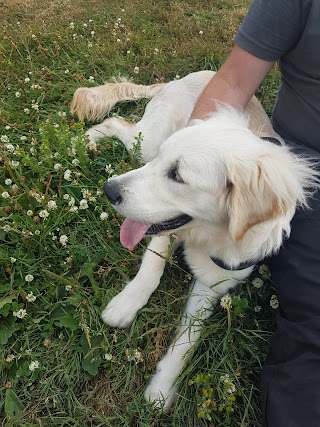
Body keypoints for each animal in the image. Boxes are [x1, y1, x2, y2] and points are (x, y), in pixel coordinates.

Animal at [71, 71, 318, 412]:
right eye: (166, 164)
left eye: (178, 176)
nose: (109, 190)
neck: (210, 234)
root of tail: (182, 78)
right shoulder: (163, 227)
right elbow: (151, 268)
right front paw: (126, 304)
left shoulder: (216, 281)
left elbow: (188, 337)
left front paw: (162, 386)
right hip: (145, 145)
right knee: (118, 122)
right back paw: (88, 139)